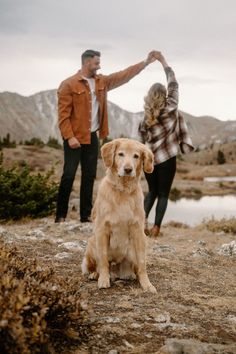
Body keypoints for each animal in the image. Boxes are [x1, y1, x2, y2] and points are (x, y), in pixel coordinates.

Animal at [81, 138, 157, 294]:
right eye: (120, 154)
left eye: (136, 156)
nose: (128, 169)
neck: (123, 190)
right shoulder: (102, 229)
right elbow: (103, 260)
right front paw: (103, 280)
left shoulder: (138, 231)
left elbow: (142, 263)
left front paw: (147, 284)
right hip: (92, 243)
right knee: (97, 265)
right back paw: (95, 274)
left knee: (135, 267)